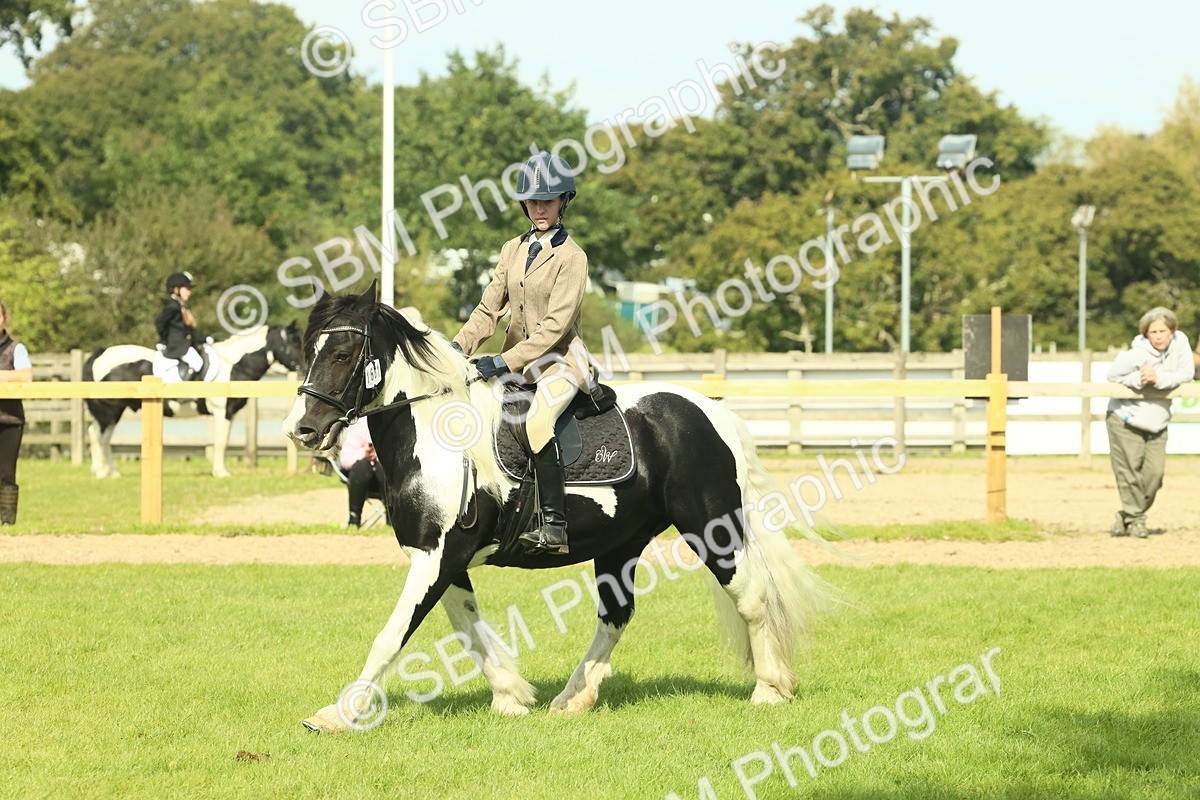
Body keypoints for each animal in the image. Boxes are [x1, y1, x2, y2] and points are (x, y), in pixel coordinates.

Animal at [84, 322, 305, 478]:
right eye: (294, 343)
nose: (304, 369)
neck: (233, 365)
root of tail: (100, 354)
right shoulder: (222, 412)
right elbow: (221, 442)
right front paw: (221, 472)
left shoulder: (230, 413)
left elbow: (223, 440)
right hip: (108, 411)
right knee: (97, 436)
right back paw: (101, 471)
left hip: (115, 412)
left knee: (103, 437)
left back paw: (110, 471)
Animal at [283, 284, 832, 732]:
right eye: (307, 352)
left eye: (344, 353)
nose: (302, 429)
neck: (437, 433)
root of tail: (710, 409)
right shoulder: (443, 558)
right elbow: (468, 627)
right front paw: (511, 695)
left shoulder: (439, 555)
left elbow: (392, 635)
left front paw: (340, 713)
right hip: (621, 543)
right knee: (616, 615)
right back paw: (572, 698)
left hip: (711, 527)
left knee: (752, 598)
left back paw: (769, 689)